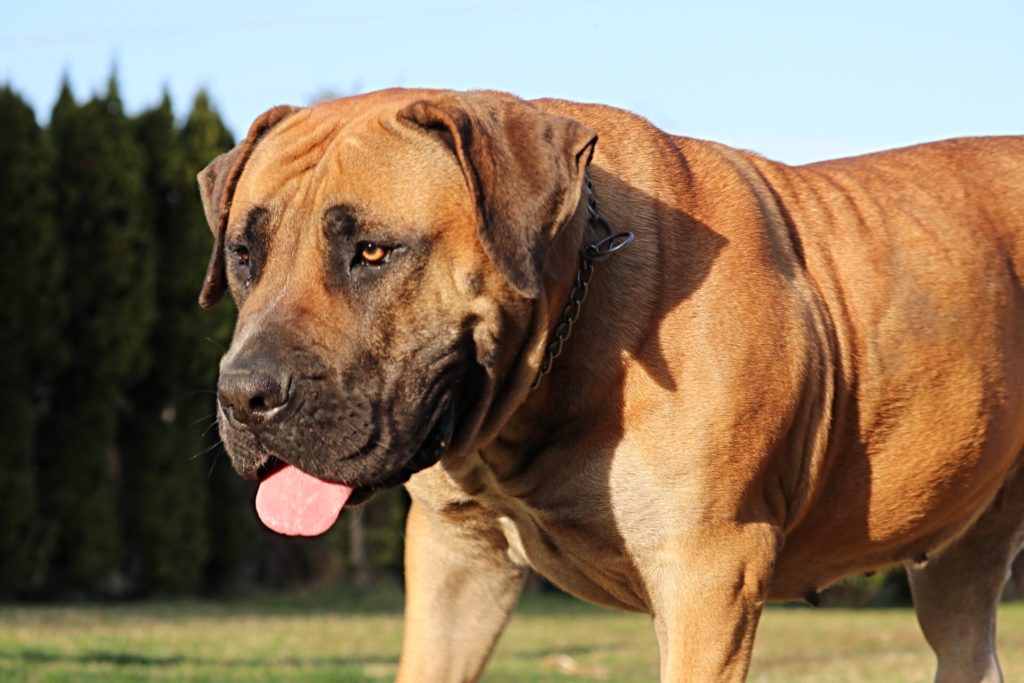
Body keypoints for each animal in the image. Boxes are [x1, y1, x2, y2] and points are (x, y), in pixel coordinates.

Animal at [197, 88, 1024, 679]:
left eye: (372, 251)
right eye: (243, 253)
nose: (243, 396)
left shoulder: (709, 576)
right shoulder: (455, 561)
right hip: (960, 565)